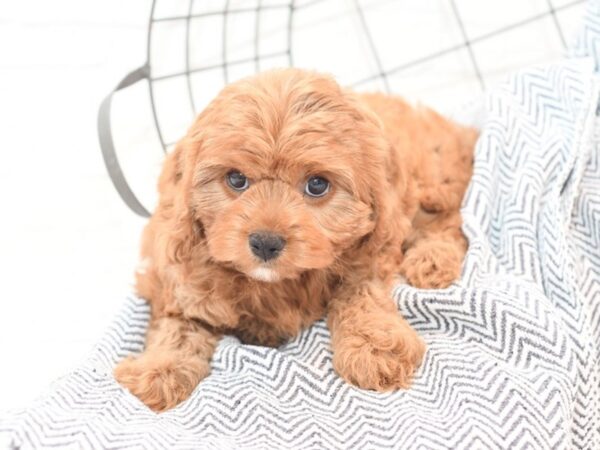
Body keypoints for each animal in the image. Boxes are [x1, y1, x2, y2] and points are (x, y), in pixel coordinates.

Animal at [115, 67, 476, 412]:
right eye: (236, 179)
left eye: (317, 185)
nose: (265, 242)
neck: (276, 284)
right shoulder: (177, 274)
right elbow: (178, 323)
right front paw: (159, 370)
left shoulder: (373, 248)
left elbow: (360, 293)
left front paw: (374, 347)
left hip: (428, 184)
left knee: (451, 221)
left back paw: (432, 259)